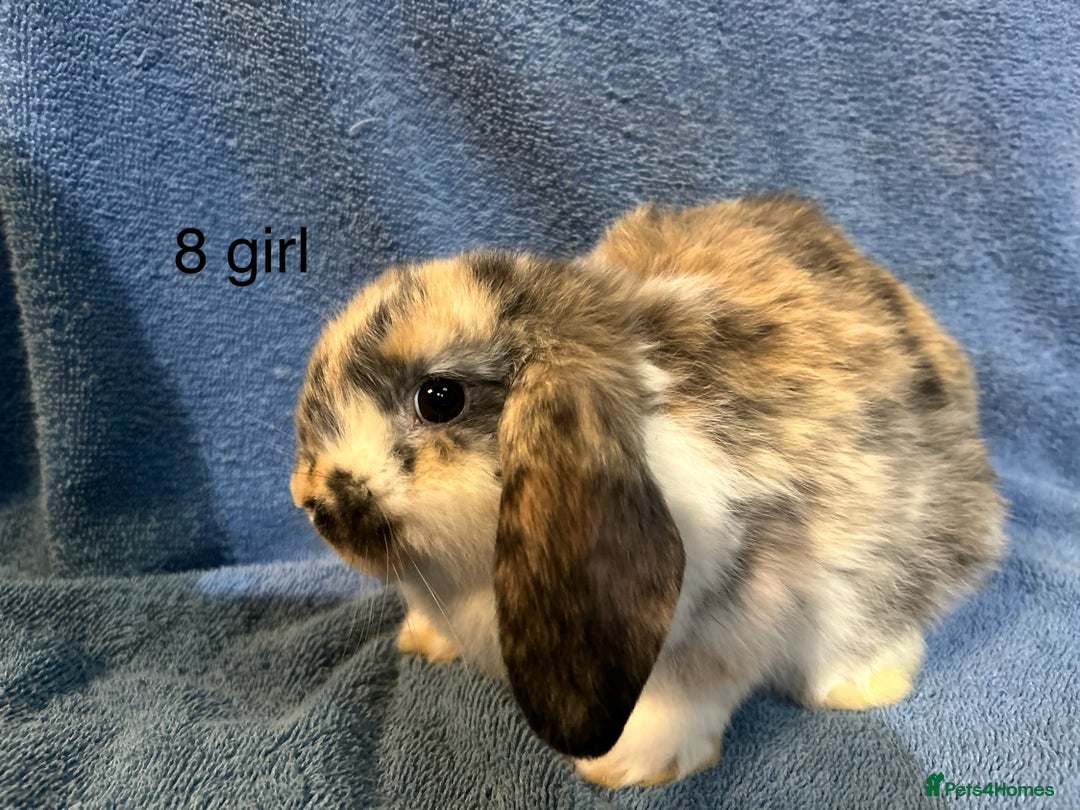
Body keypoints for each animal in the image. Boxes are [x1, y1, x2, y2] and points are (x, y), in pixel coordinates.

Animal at [289, 196, 1005, 788]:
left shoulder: (743, 599)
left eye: (438, 398)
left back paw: (861, 684)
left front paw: (627, 764)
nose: (311, 500)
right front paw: (422, 640)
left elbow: (691, 688)